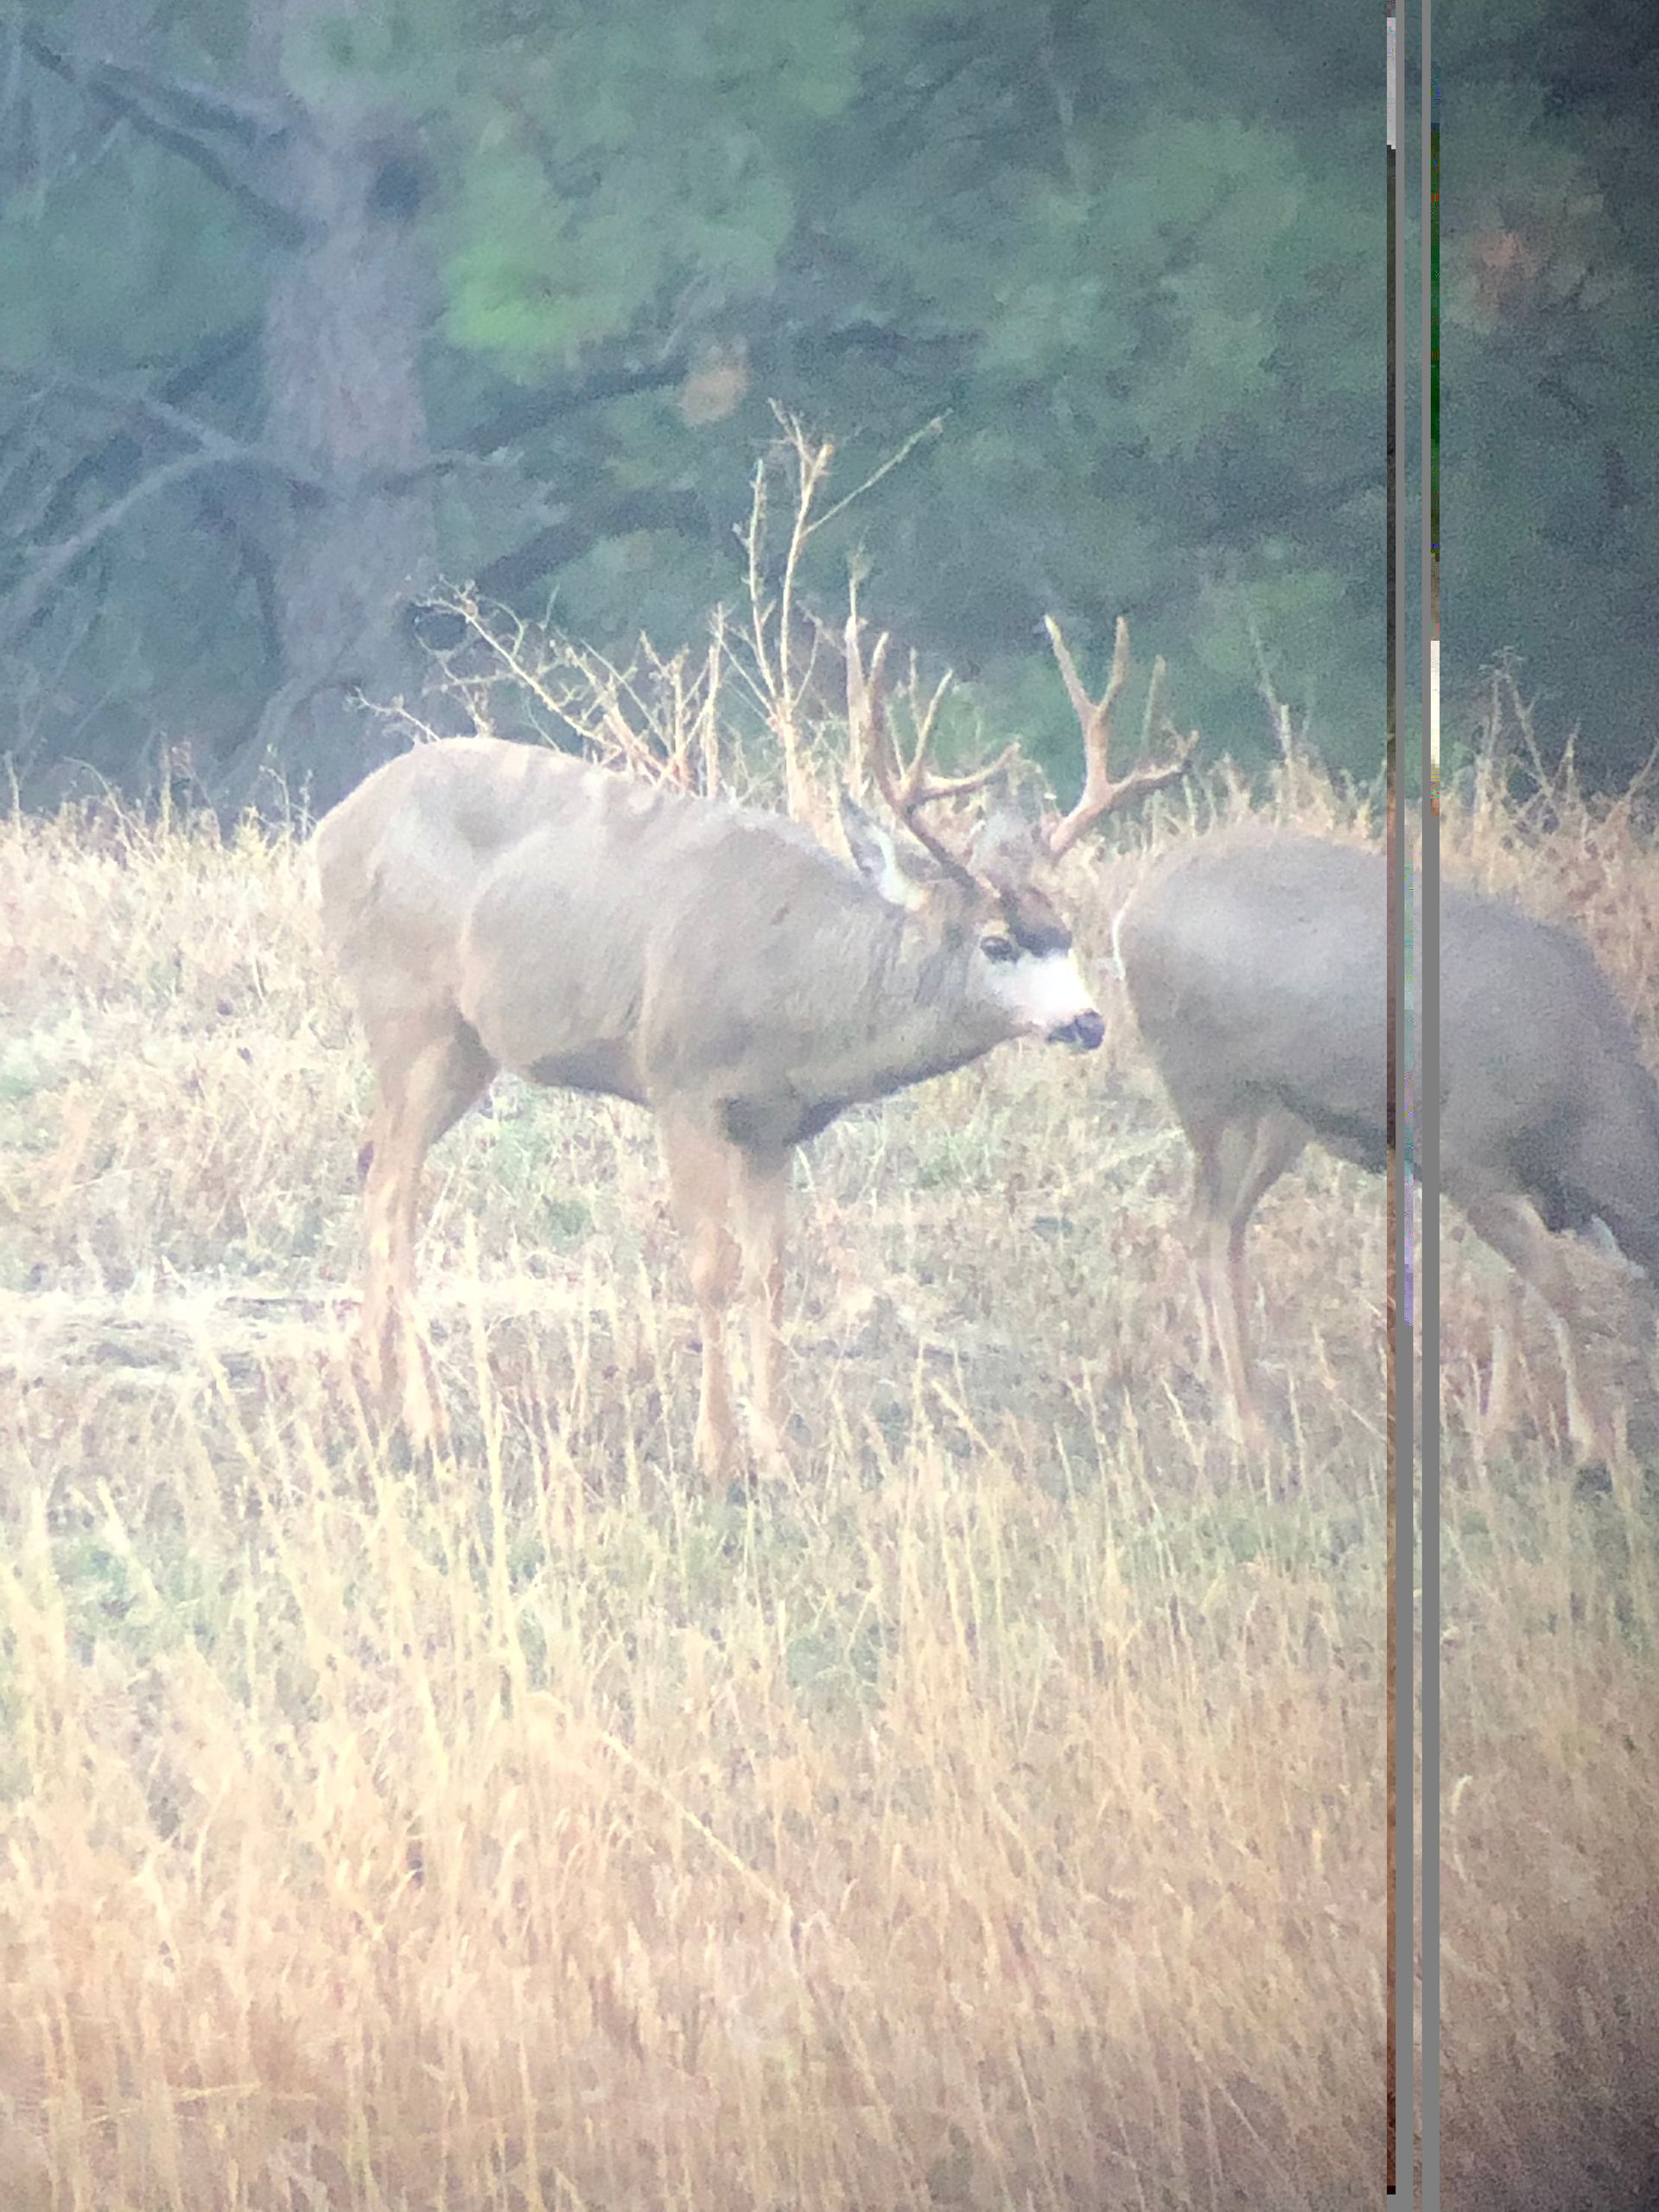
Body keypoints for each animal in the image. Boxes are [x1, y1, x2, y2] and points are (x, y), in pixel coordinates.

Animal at [311, 613, 1191, 1481]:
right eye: (998, 943)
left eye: (1066, 931)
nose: (1089, 1023)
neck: (799, 990)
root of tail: (333, 828)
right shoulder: (680, 1082)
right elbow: (714, 1270)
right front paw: (717, 1454)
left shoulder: (773, 1124)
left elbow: (770, 1275)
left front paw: (776, 1449)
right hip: (411, 1010)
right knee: (394, 1186)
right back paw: (426, 1419)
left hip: (467, 1045)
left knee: (370, 1157)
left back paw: (376, 1395)